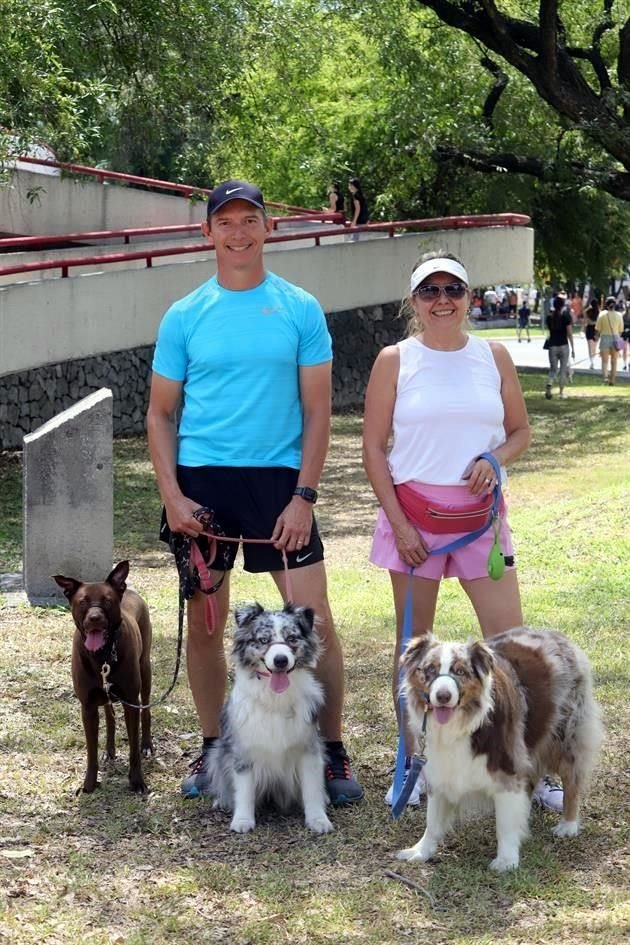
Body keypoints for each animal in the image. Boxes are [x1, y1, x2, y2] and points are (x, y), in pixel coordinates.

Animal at [53, 556, 154, 792]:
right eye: (82, 601)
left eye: (107, 601)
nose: (95, 618)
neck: (103, 655)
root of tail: (129, 590)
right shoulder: (88, 706)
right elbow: (91, 751)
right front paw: (89, 784)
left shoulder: (130, 702)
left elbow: (133, 747)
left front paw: (137, 781)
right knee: (109, 716)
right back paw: (109, 750)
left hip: (145, 672)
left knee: (146, 710)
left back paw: (147, 745)